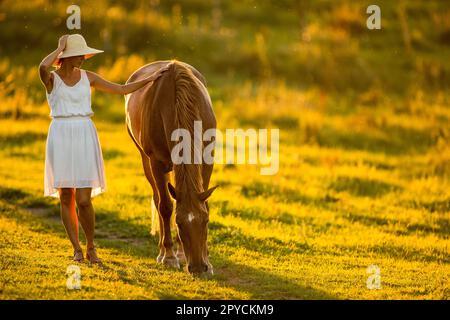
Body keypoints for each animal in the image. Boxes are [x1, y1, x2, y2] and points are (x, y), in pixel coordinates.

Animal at [125, 60, 218, 276]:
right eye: (179, 223)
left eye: (206, 221)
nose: (198, 268)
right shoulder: (156, 163)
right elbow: (166, 207)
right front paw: (168, 256)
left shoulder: (207, 158)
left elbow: (203, 203)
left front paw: (206, 261)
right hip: (147, 162)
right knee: (159, 199)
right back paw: (163, 252)